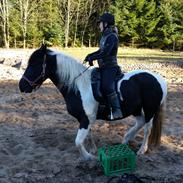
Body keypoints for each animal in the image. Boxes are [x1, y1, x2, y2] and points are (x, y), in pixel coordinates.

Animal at [19, 44, 167, 160]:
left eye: (35, 64)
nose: (21, 86)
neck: (78, 86)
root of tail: (159, 79)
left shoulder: (86, 118)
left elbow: (78, 142)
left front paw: (89, 157)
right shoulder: (85, 119)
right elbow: (88, 135)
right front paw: (93, 150)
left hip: (150, 109)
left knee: (147, 128)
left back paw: (141, 150)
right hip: (135, 109)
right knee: (140, 122)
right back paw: (125, 140)